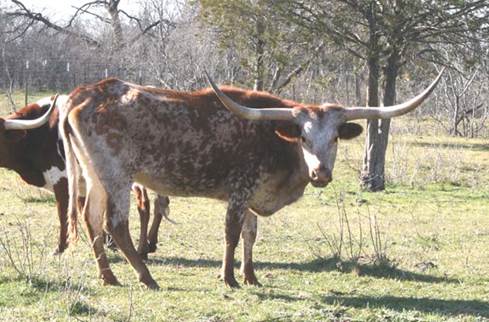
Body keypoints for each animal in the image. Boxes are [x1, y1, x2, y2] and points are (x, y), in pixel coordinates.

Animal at [0, 97, 169, 258]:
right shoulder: (82, 185)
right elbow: (86, 212)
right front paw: (107, 242)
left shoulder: (62, 181)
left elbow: (63, 214)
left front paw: (60, 248)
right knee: (159, 202)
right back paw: (150, 243)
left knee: (144, 205)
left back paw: (142, 249)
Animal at [53, 69, 442, 288]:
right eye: (302, 137)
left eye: (334, 138)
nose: (320, 173)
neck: (274, 140)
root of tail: (87, 91)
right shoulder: (239, 193)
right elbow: (232, 233)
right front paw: (228, 278)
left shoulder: (256, 195)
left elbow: (251, 235)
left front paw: (250, 275)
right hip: (118, 175)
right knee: (115, 223)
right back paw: (147, 278)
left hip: (95, 174)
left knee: (90, 218)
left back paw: (108, 276)